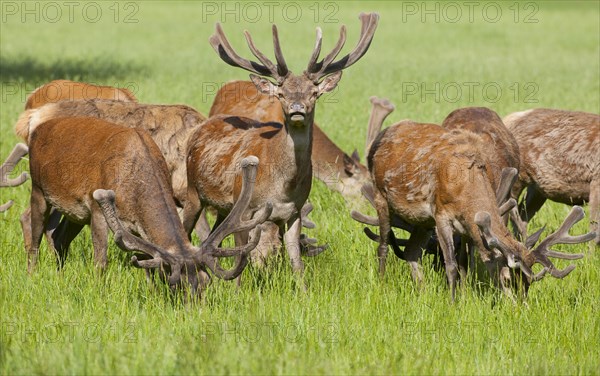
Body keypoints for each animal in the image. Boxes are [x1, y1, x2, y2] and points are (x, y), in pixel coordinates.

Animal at [26, 117, 272, 294]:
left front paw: (151, 293)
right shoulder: (97, 209)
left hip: (76, 213)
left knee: (59, 238)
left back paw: (59, 274)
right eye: (176, 284)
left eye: (206, 283)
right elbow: (101, 261)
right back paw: (32, 276)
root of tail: (37, 129)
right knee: (34, 239)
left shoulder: (135, 226)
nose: (195, 311)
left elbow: (147, 263)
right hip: (38, 188)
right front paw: (99, 291)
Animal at [183, 13, 380, 276]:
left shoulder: (293, 212)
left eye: (313, 92)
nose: (297, 108)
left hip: (223, 207)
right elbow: (243, 259)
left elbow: (296, 261)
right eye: (282, 93)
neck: (283, 186)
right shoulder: (245, 210)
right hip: (193, 193)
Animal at [368, 120, 592, 300]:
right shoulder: (441, 215)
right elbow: (451, 265)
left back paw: (422, 291)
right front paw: (452, 302)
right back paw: (381, 284)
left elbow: (464, 264)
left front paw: (465, 297)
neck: (466, 189)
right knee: (383, 245)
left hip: (422, 221)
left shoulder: (466, 226)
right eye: (508, 280)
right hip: (380, 196)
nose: (520, 306)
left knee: (411, 251)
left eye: (528, 284)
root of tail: (384, 133)